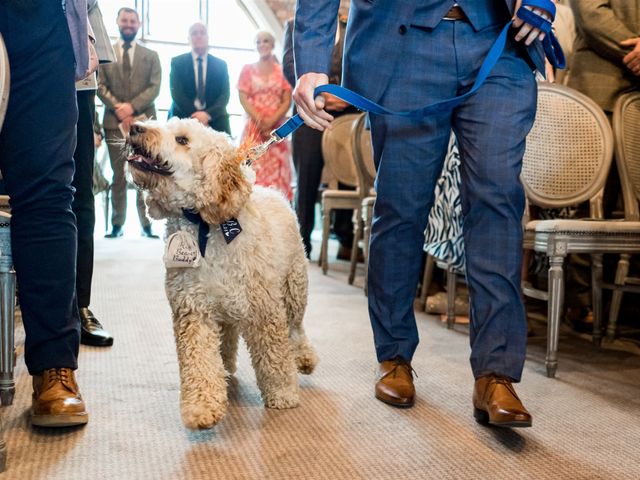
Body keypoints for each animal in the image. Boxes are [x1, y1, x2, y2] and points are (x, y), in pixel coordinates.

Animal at [124, 118, 318, 430]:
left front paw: (282, 393)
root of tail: (272, 192)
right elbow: (200, 360)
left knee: (296, 329)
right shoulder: (194, 310)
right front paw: (201, 406)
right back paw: (225, 366)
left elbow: (275, 354)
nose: (135, 127)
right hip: (225, 308)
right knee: (227, 338)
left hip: (294, 287)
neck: (204, 225)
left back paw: (303, 358)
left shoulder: (264, 310)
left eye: (182, 140)